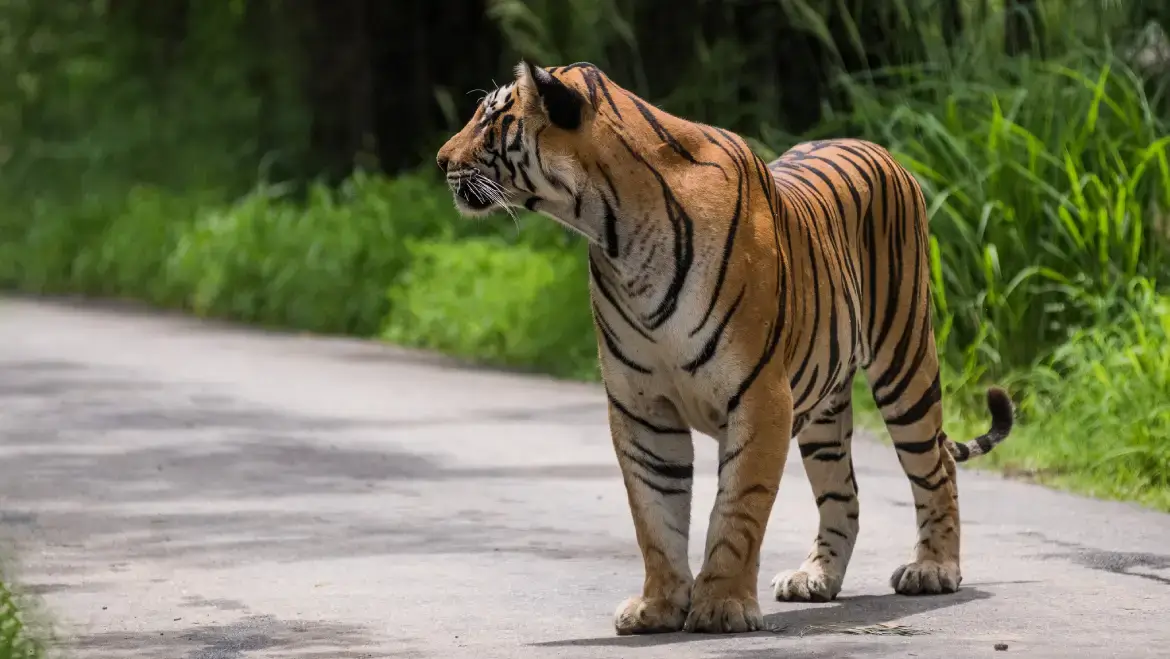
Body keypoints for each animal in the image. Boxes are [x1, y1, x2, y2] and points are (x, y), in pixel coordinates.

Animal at [435, 60, 1014, 635]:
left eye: (490, 119)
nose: (441, 160)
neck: (614, 231)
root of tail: (879, 150)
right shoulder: (640, 405)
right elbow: (654, 513)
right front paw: (659, 606)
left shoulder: (761, 396)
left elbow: (737, 508)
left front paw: (722, 606)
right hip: (825, 411)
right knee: (842, 492)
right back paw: (816, 577)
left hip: (905, 361)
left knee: (937, 466)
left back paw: (933, 569)